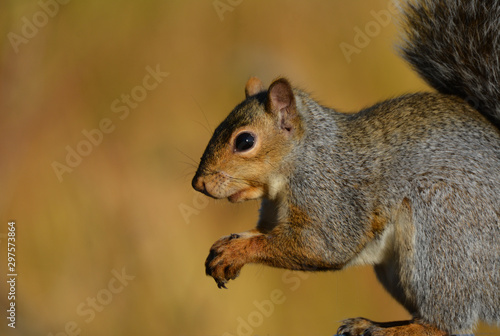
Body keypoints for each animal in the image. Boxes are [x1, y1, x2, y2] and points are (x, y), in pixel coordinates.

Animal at [191, 1, 500, 334]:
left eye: (245, 140)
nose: (199, 183)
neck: (304, 160)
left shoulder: (332, 198)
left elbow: (323, 246)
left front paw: (236, 251)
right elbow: (260, 233)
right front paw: (225, 246)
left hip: (445, 234)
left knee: (444, 324)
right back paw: (368, 323)